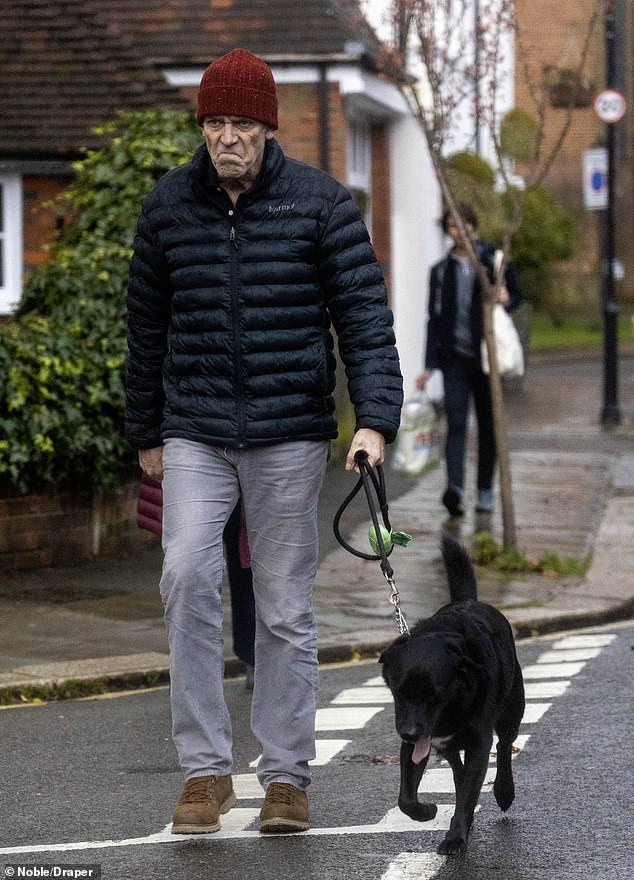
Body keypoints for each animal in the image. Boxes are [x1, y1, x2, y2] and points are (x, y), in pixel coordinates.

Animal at [378, 532, 520, 856]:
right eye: (399, 694)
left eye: (435, 696)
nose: (408, 732)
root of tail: (468, 601)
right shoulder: (416, 744)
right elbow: (406, 798)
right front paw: (425, 812)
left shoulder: (479, 742)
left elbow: (469, 791)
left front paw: (455, 837)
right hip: (445, 746)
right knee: (457, 769)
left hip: (511, 712)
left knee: (504, 746)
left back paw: (503, 791)